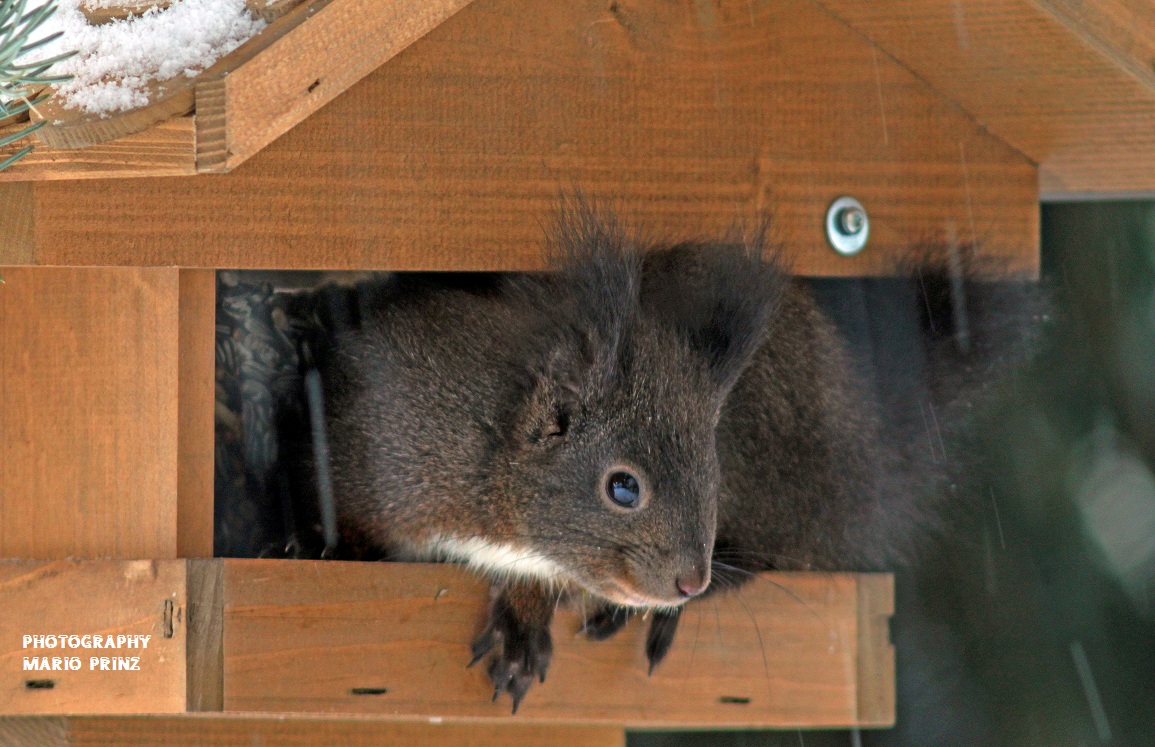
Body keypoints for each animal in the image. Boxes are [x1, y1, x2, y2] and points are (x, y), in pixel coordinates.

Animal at [318, 199, 1048, 711]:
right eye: (622, 488)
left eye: (711, 475)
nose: (687, 578)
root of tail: (866, 441)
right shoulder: (386, 459)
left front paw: (523, 625)